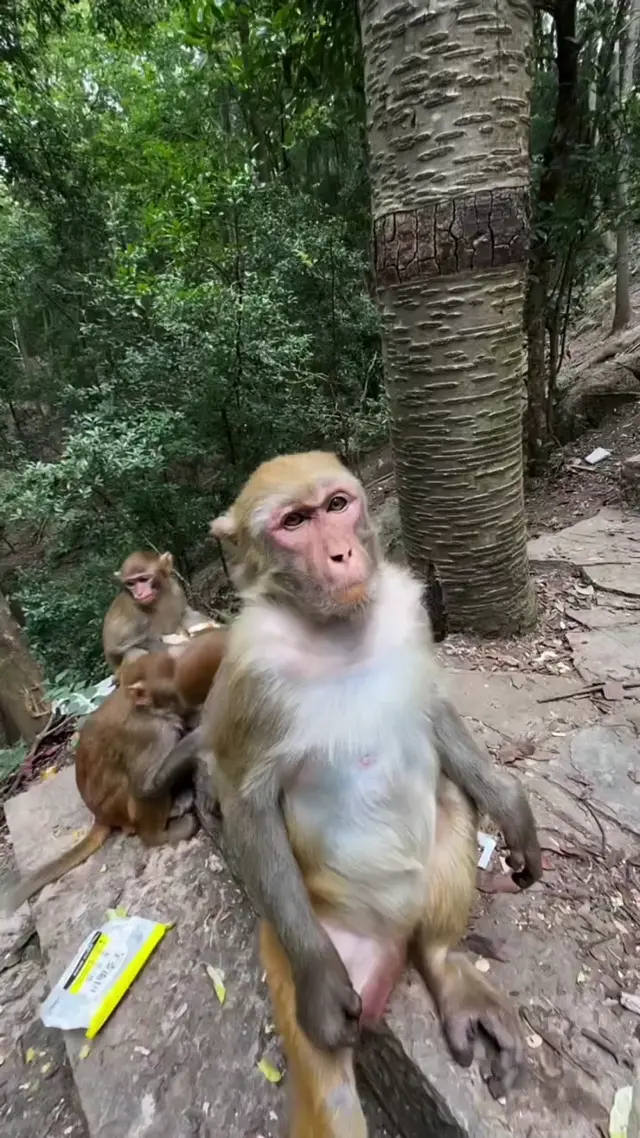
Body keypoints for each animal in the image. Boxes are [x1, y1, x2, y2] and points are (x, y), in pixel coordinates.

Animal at [0, 653, 198, 916]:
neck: (146, 708)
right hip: (118, 808)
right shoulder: (153, 735)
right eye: (174, 674)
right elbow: (145, 787)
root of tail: (100, 816)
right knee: (132, 788)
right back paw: (158, 834)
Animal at [148, 451, 542, 1134]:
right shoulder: (249, 669)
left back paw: (443, 960)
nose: (340, 554)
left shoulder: (409, 613)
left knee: (449, 800)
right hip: (301, 950)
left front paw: (510, 806)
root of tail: (394, 937)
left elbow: (431, 710)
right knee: (328, 1088)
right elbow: (247, 799)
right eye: (294, 522)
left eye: (336, 505)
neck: (337, 631)